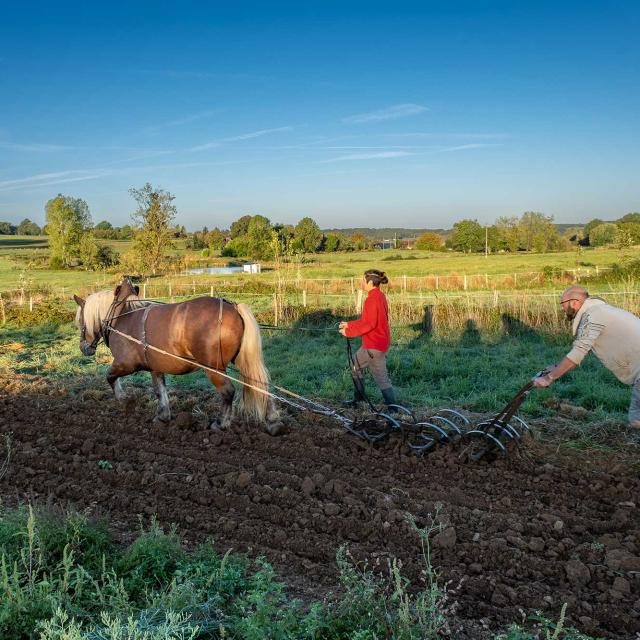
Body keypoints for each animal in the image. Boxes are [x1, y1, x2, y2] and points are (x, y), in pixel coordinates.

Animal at [74, 276, 282, 436]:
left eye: (80, 320)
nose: (84, 347)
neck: (120, 315)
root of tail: (234, 307)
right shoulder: (155, 367)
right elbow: (160, 390)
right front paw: (163, 416)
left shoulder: (125, 364)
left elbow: (110, 377)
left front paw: (124, 400)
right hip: (242, 360)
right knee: (260, 384)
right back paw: (273, 422)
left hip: (214, 368)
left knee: (228, 391)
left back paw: (221, 423)